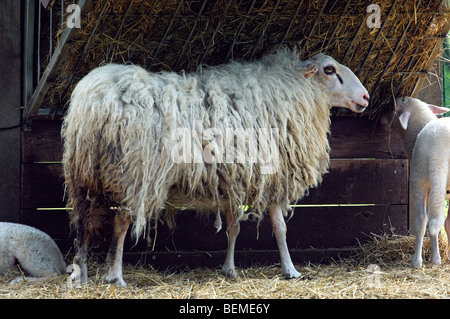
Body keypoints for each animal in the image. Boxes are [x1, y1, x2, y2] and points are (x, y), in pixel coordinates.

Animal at [61, 48, 368, 288]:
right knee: (121, 223)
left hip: (84, 175)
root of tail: (93, 101)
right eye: (330, 70)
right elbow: (280, 228)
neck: (295, 90)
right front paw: (291, 270)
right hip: (134, 174)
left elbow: (233, 227)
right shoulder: (273, 177)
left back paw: (80, 275)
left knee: (82, 224)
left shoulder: (235, 179)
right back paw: (115, 276)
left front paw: (229, 269)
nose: (365, 97)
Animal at [382, 96, 450, 268]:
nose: (380, 121)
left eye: (392, 107)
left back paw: (416, 261)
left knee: (422, 220)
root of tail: (439, 147)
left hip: (419, 180)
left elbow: (426, 222)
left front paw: (432, 259)